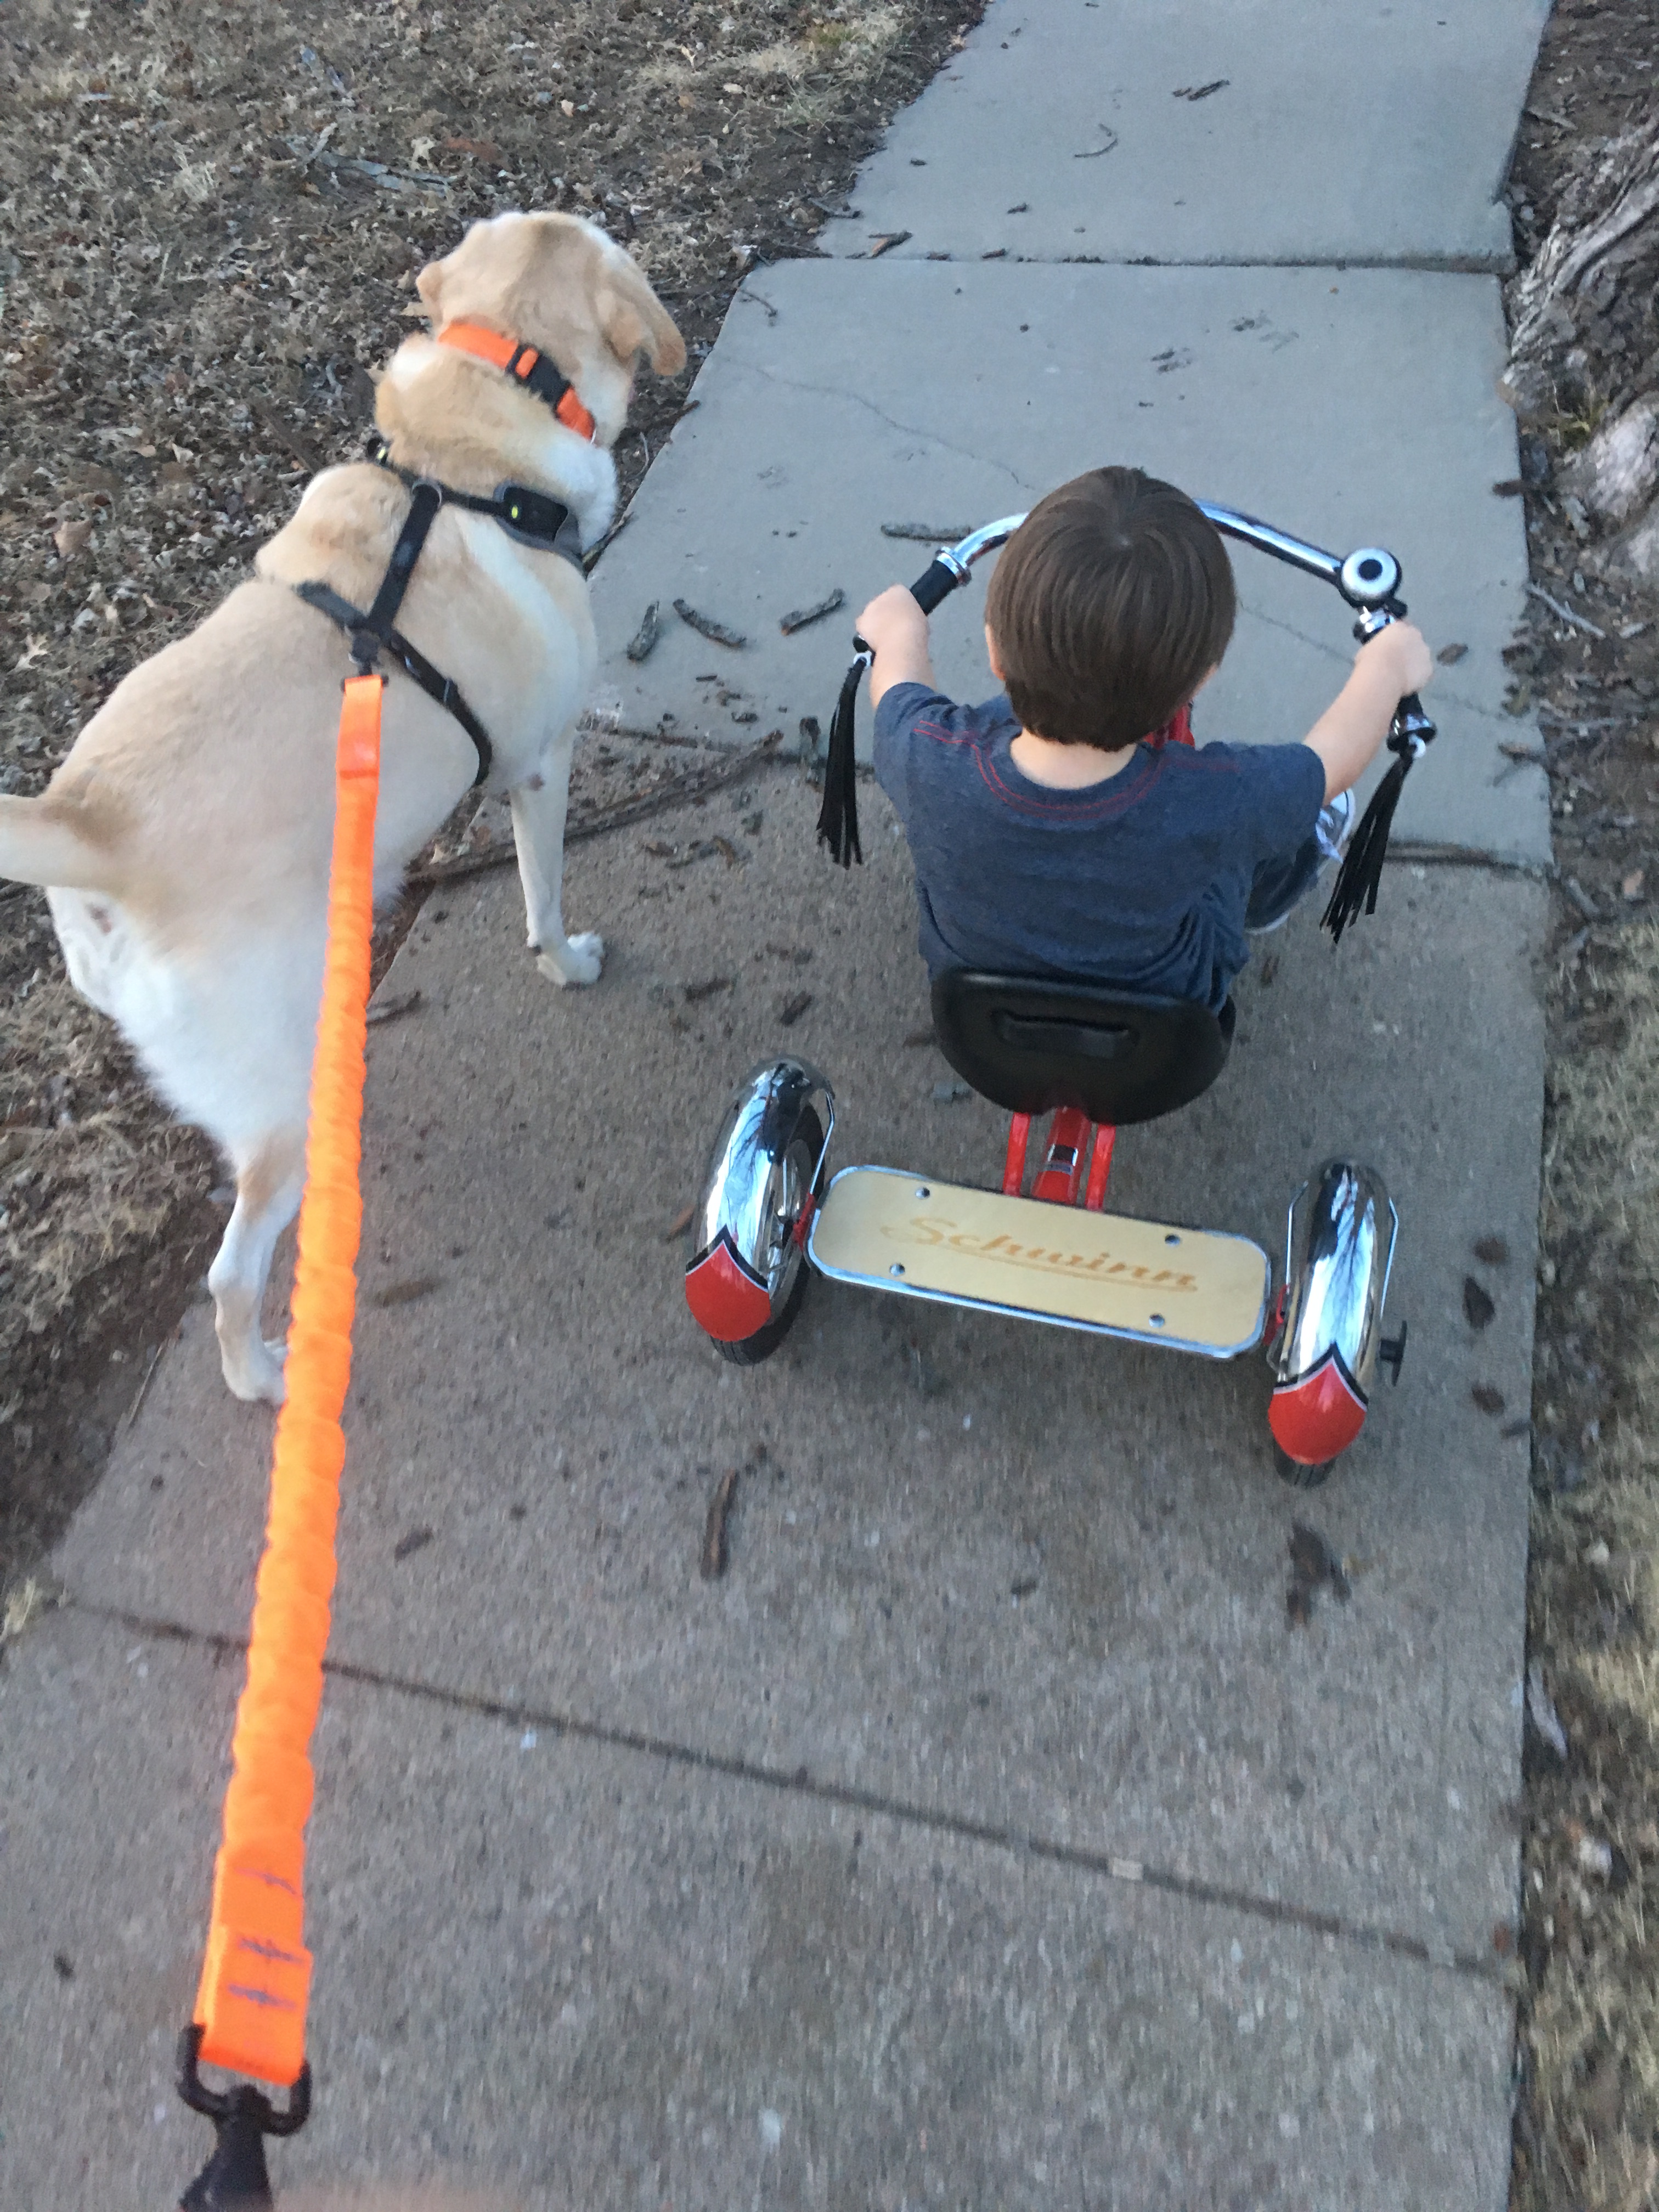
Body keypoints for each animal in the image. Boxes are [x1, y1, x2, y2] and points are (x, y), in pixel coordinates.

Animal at [0, 211, 684, 1403]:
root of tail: (92, 822)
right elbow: (544, 898)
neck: (462, 450)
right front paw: (566, 961)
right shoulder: (542, 765)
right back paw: (265, 1373)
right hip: (269, 1104)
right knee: (233, 1272)